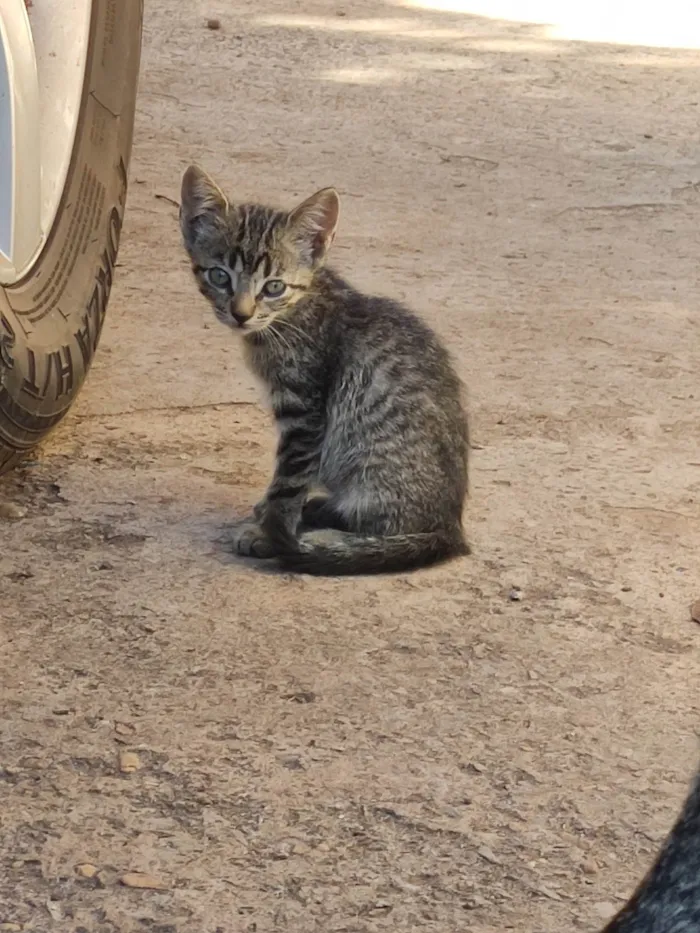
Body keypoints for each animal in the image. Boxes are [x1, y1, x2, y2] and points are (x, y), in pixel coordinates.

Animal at [179, 167, 470, 576]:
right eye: (220, 277)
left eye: (274, 286)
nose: (241, 314)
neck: (294, 311)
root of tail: (451, 526)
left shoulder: (305, 411)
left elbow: (289, 481)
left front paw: (269, 532)